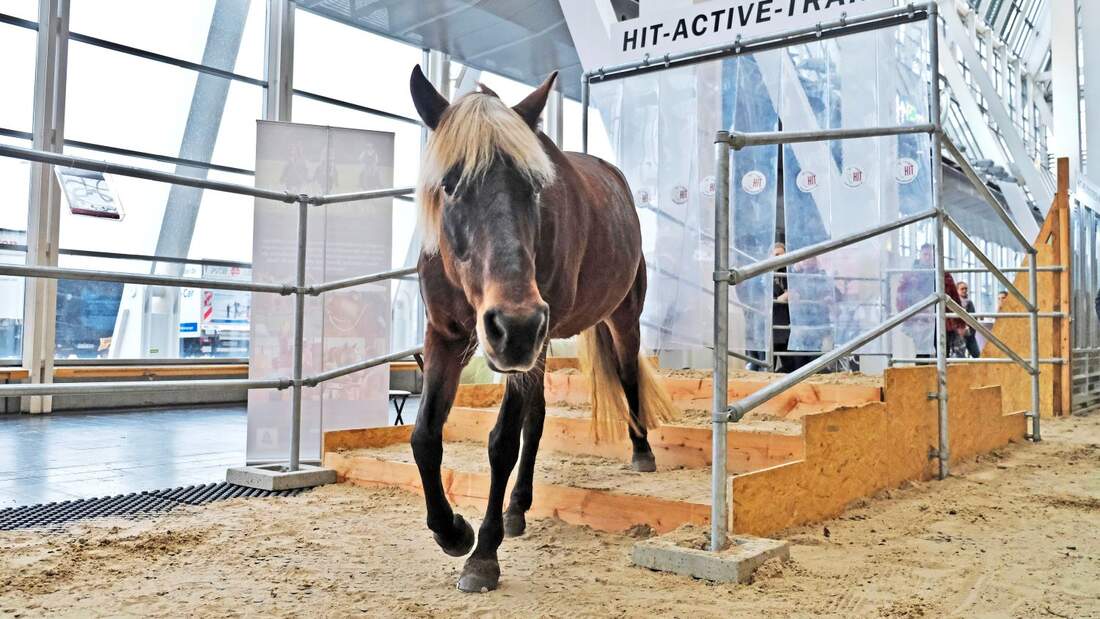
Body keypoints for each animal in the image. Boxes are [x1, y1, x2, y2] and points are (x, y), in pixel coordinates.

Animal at [408, 65, 679, 593]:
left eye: (534, 188)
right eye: (449, 185)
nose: (513, 324)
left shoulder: (523, 343)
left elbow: (501, 445)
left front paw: (483, 555)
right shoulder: (445, 335)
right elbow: (425, 435)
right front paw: (452, 531)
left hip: (611, 321)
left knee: (628, 379)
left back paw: (641, 451)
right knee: (538, 416)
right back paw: (517, 509)